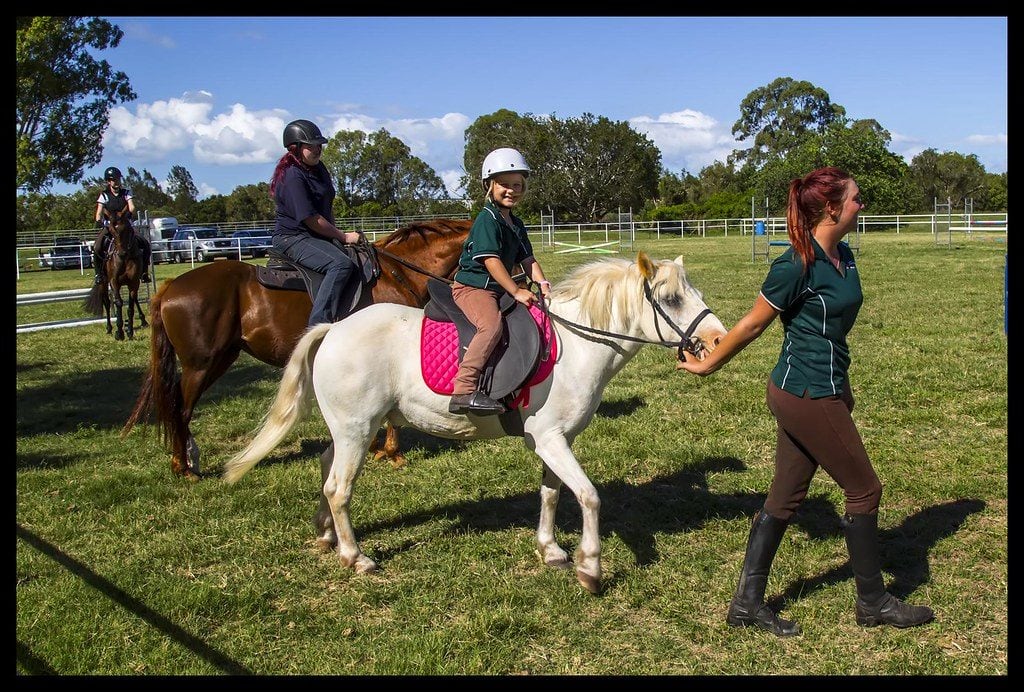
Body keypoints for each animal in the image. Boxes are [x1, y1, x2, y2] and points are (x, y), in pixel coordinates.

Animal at [82, 206, 148, 341]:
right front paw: (120, 332)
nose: (122, 253)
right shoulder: (114, 282)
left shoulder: (134, 282)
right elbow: (118, 303)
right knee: (107, 303)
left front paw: (129, 331)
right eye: (111, 231)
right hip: (103, 282)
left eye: (127, 229)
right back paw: (109, 328)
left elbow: (131, 306)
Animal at [121, 219, 468, 479]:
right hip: (201, 364)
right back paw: (183, 466)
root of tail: (171, 287)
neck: (398, 274)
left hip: (219, 360)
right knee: (181, 409)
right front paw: (392, 453)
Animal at [224, 253, 729, 593]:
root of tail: (334, 328)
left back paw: (327, 533)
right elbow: (588, 496)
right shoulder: (550, 438)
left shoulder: (550, 440)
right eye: (671, 299)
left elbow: (551, 494)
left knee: (327, 469)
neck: (576, 343)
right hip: (357, 430)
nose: (718, 341)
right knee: (338, 488)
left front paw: (550, 550)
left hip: (349, 430)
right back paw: (355, 556)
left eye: (698, 295)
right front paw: (590, 567)